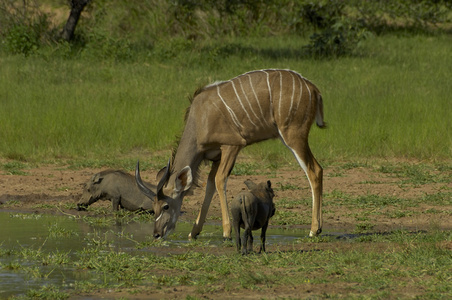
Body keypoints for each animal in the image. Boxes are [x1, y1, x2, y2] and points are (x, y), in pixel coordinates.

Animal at [134, 69, 324, 240]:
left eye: (165, 206)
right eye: (154, 207)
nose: (157, 234)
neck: (200, 119)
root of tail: (313, 89)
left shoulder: (232, 145)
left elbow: (220, 180)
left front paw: (226, 232)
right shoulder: (216, 156)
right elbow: (210, 184)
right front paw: (194, 232)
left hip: (293, 135)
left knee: (314, 170)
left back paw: (313, 230)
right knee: (319, 169)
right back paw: (319, 228)